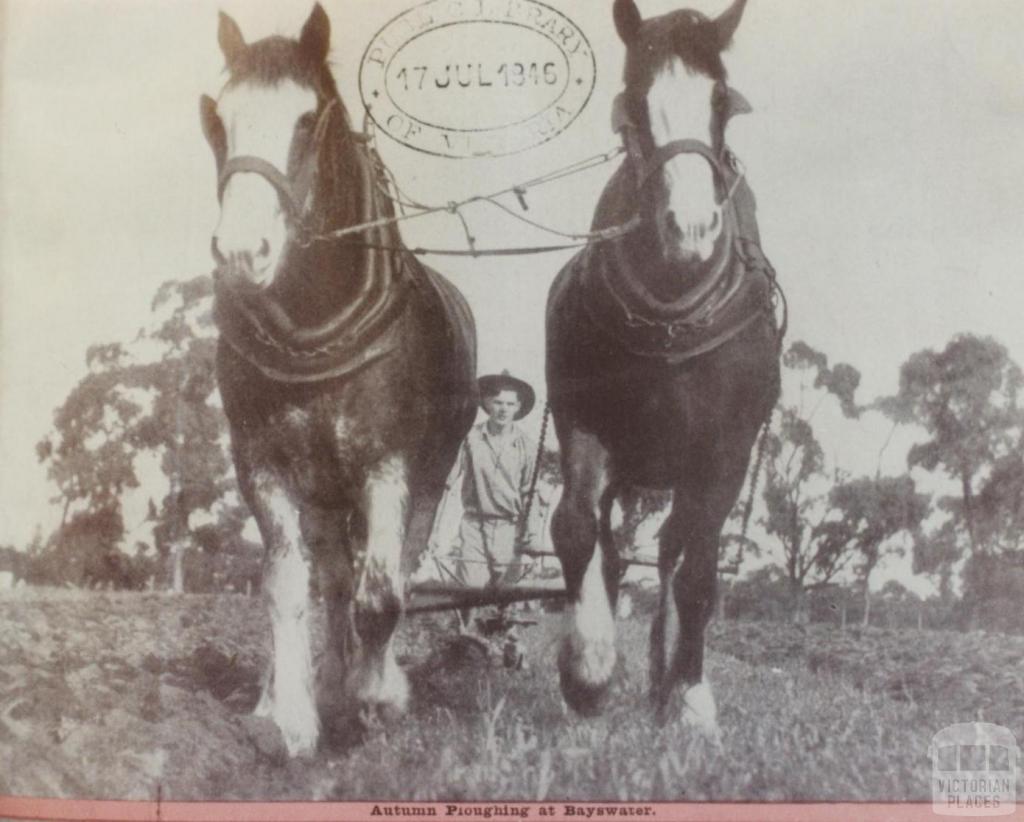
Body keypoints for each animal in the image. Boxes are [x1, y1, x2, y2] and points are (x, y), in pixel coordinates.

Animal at [201, 4, 477, 757]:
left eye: (305, 120)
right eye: (219, 122)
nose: (241, 254)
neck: (314, 321)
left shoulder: (389, 464)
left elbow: (381, 592)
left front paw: (377, 695)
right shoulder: (262, 465)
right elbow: (288, 588)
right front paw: (294, 719)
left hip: (426, 477)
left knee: (389, 573)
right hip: (323, 491)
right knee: (329, 581)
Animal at [548, 0, 778, 732]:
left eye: (720, 101)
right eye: (633, 104)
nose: (692, 230)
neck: (672, 308)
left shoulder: (728, 448)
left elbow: (699, 566)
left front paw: (693, 698)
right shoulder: (582, 417)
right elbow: (576, 527)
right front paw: (589, 669)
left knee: (680, 550)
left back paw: (671, 680)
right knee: (617, 544)